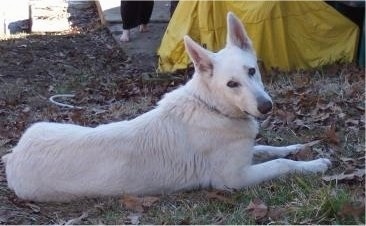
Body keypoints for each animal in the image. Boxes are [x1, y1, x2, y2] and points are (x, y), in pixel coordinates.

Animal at [1, 12, 330, 202]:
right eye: (231, 84)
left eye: (252, 71)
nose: (266, 107)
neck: (211, 107)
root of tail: (13, 157)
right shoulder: (232, 180)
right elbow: (281, 164)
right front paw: (315, 164)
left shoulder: (247, 153)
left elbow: (268, 149)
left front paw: (299, 146)